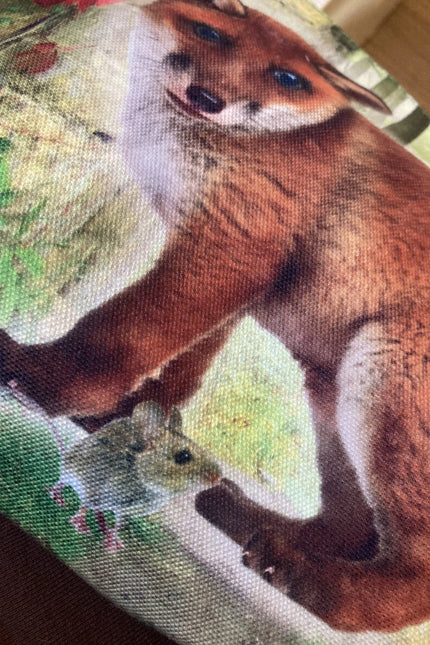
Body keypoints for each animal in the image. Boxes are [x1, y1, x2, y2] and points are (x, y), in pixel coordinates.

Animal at [1, 0, 430, 631]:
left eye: (289, 79)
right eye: (208, 32)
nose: (208, 98)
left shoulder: (231, 244)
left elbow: (119, 334)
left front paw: (46, 383)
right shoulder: (236, 279)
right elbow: (181, 370)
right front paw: (132, 423)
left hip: (383, 392)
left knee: (412, 577)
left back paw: (316, 585)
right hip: (333, 400)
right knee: (351, 526)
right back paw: (257, 523)